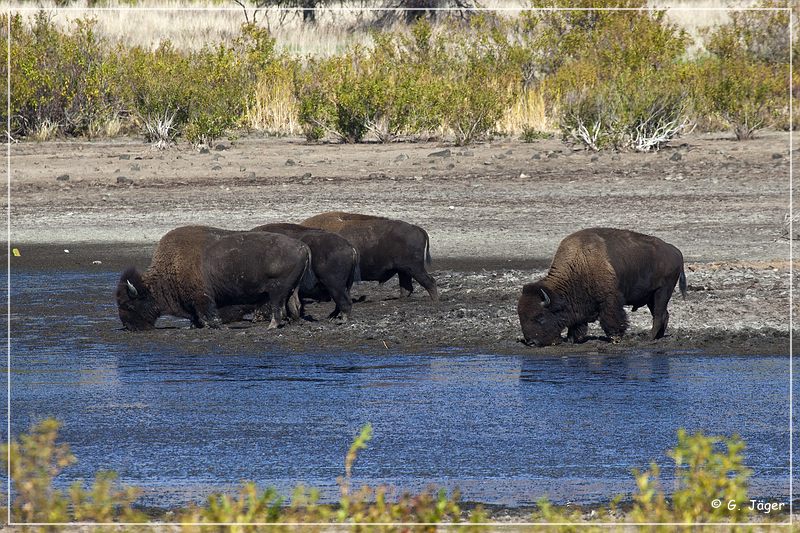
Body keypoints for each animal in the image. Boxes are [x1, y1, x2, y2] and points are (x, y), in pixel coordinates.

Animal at [117, 223, 310, 328]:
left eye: (128, 305)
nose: (128, 326)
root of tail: (302, 246)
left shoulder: (202, 297)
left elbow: (206, 313)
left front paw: (212, 325)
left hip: (278, 291)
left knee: (279, 307)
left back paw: (272, 326)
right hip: (291, 289)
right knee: (294, 305)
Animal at [302, 211, 440, 302]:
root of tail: (417, 228)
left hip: (414, 268)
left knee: (429, 282)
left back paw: (434, 300)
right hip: (404, 270)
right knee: (407, 287)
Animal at [520, 228, 688, 344]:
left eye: (540, 317)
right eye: (521, 316)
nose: (531, 342)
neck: (580, 263)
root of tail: (676, 251)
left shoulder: (610, 299)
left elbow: (611, 317)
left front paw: (615, 338)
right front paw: (572, 339)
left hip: (662, 291)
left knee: (659, 315)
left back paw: (649, 338)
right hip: (651, 297)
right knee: (664, 314)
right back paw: (658, 337)